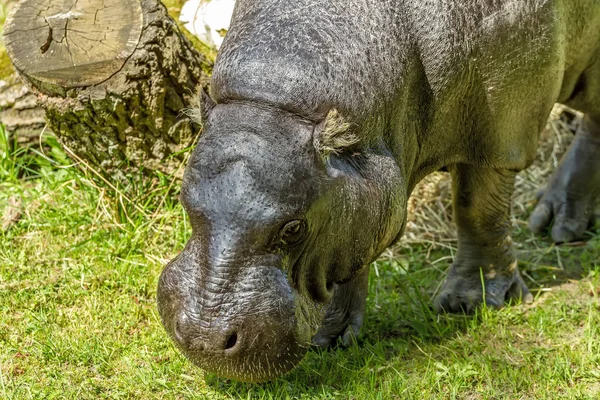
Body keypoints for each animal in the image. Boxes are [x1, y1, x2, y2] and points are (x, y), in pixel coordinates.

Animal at [158, 0, 600, 382]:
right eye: (184, 201)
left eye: (293, 228)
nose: (202, 338)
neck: (277, 105)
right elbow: (350, 247)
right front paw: (331, 337)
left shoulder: (502, 125)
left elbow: (478, 210)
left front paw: (470, 304)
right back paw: (558, 220)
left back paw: (557, 226)